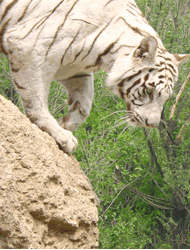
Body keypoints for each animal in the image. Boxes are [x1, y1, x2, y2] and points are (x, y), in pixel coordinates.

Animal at [0, 0, 190, 152]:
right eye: (149, 92)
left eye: (167, 98)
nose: (152, 124)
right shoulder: (29, 47)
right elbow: (35, 98)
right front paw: (60, 133)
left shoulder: (74, 69)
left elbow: (85, 104)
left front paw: (65, 123)